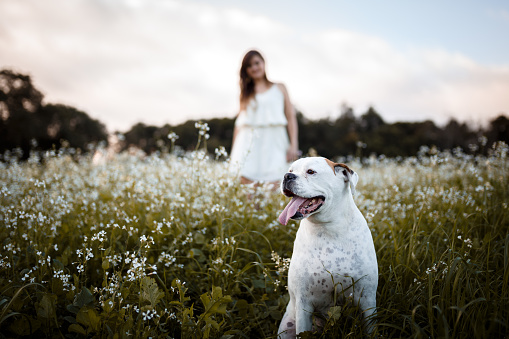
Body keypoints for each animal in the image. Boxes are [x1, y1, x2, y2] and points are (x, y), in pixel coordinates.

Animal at [276, 158, 376, 338]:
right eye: (291, 170)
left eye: (311, 172)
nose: (287, 176)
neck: (327, 228)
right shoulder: (304, 304)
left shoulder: (368, 300)